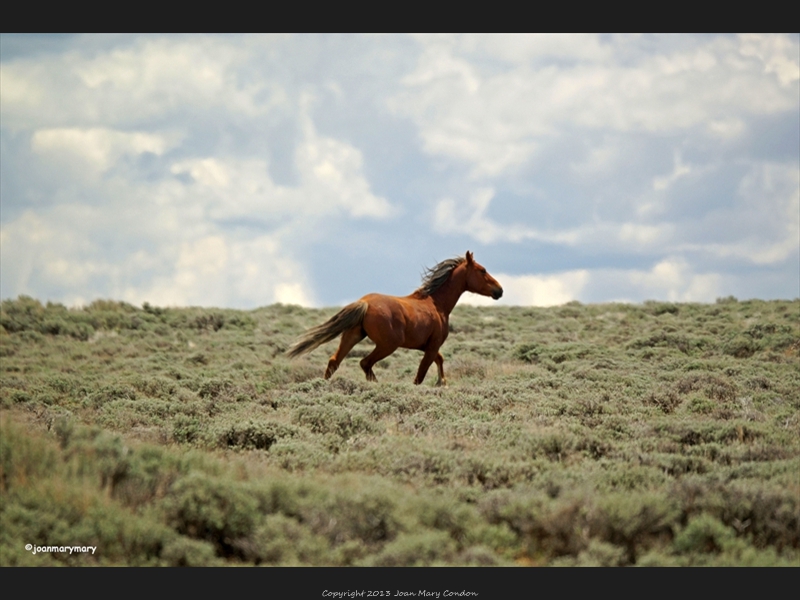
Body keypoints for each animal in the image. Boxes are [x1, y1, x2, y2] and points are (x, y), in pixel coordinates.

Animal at [286, 250, 500, 384]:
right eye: (482, 270)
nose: (500, 290)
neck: (436, 303)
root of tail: (364, 303)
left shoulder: (428, 346)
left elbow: (440, 360)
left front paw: (442, 383)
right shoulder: (431, 347)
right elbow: (421, 375)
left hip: (353, 336)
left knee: (334, 362)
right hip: (387, 345)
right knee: (365, 363)